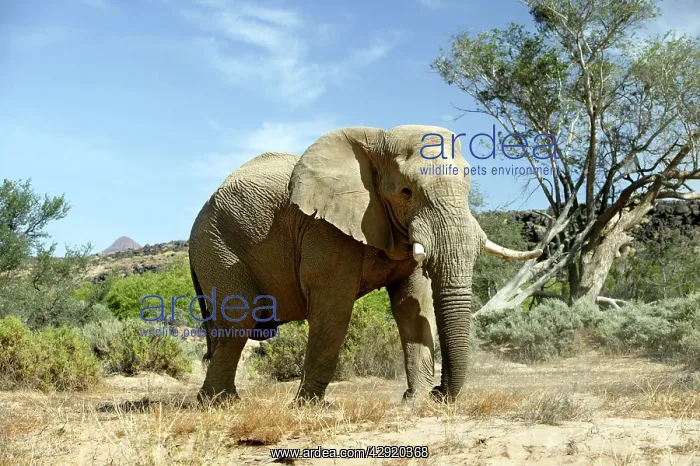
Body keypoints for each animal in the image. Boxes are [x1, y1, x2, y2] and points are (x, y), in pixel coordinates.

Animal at [188, 125, 542, 404]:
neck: (377, 142)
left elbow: (413, 306)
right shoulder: (324, 228)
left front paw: (415, 402)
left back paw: (224, 400)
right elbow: (335, 308)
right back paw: (219, 404)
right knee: (238, 324)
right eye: (406, 191)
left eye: (469, 190)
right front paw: (311, 407)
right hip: (217, 246)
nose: (440, 394)